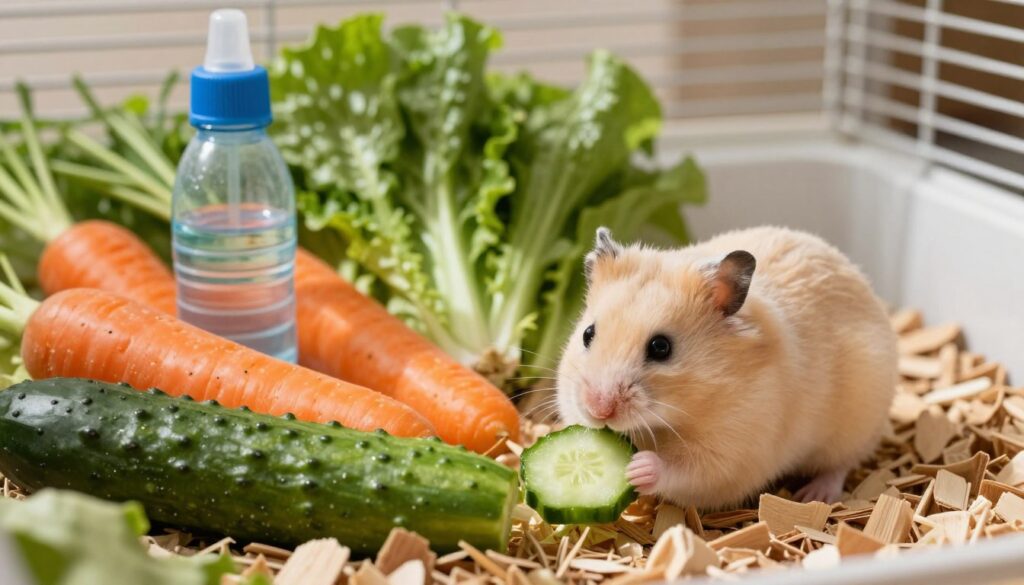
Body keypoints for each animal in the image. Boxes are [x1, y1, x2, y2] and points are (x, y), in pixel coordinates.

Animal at [556, 226, 897, 507]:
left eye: (661, 347)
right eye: (587, 334)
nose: (598, 409)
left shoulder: (732, 452)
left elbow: (686, 469)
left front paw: (638, 468)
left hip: (857, 421)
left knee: (841, 464)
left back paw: (814, 494)